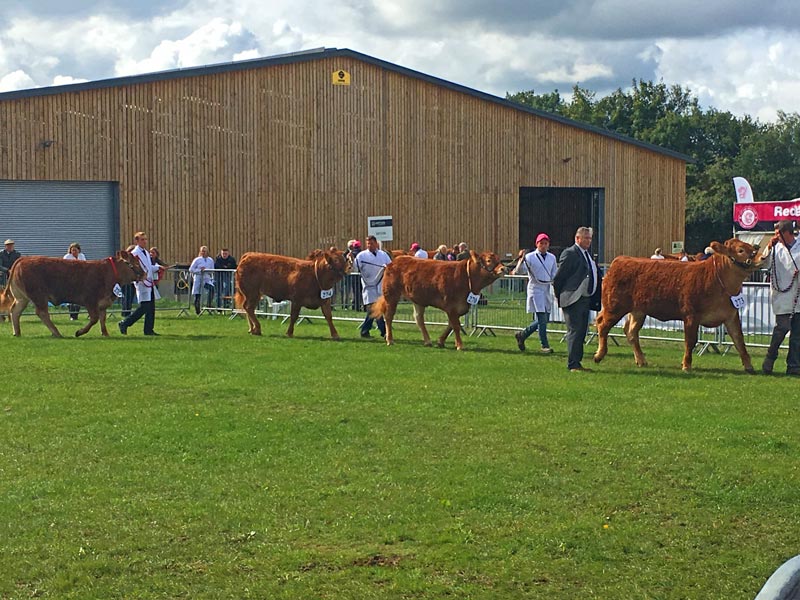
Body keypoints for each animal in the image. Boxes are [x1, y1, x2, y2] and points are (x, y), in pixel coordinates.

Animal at [0, 251, 145, 338]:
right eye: (135, 263)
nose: (145, 273)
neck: (107, 272)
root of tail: (23, 259)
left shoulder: (103, 303)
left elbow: (102, 319)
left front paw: (105, 333)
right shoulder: (90, 300)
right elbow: (94, 318)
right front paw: (79, 332)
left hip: (22, 298)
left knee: (15, 311)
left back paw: (17, 332)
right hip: (39, 295)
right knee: (41, 313)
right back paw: (56, 332)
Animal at [370, 251, 506, 350]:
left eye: (499, 259)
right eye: (489, 260)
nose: (504, 268)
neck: (466, 277)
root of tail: (392, 262)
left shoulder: (459, 307)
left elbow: (451, 325)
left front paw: (440, 341)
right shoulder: (451, 306)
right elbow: (456, 326)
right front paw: (460, 345)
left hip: (418, 300)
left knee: (419, 319)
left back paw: (427, 341)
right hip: (391, 295)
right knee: (388, 316)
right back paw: (390, 339)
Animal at [592, 238, 764, 370]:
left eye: (749, 246)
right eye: (740, 250)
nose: (761, 257)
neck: (717, 278)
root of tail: (621, 260)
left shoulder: (731, 316)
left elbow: (739, 339)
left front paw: (749, 366)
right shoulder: (691, 315)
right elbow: (690, 341)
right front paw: (686, 365)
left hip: (638, 311)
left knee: (631, 332)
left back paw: (641, 360)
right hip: (614, 306)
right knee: (603, 325)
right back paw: (599, 355)